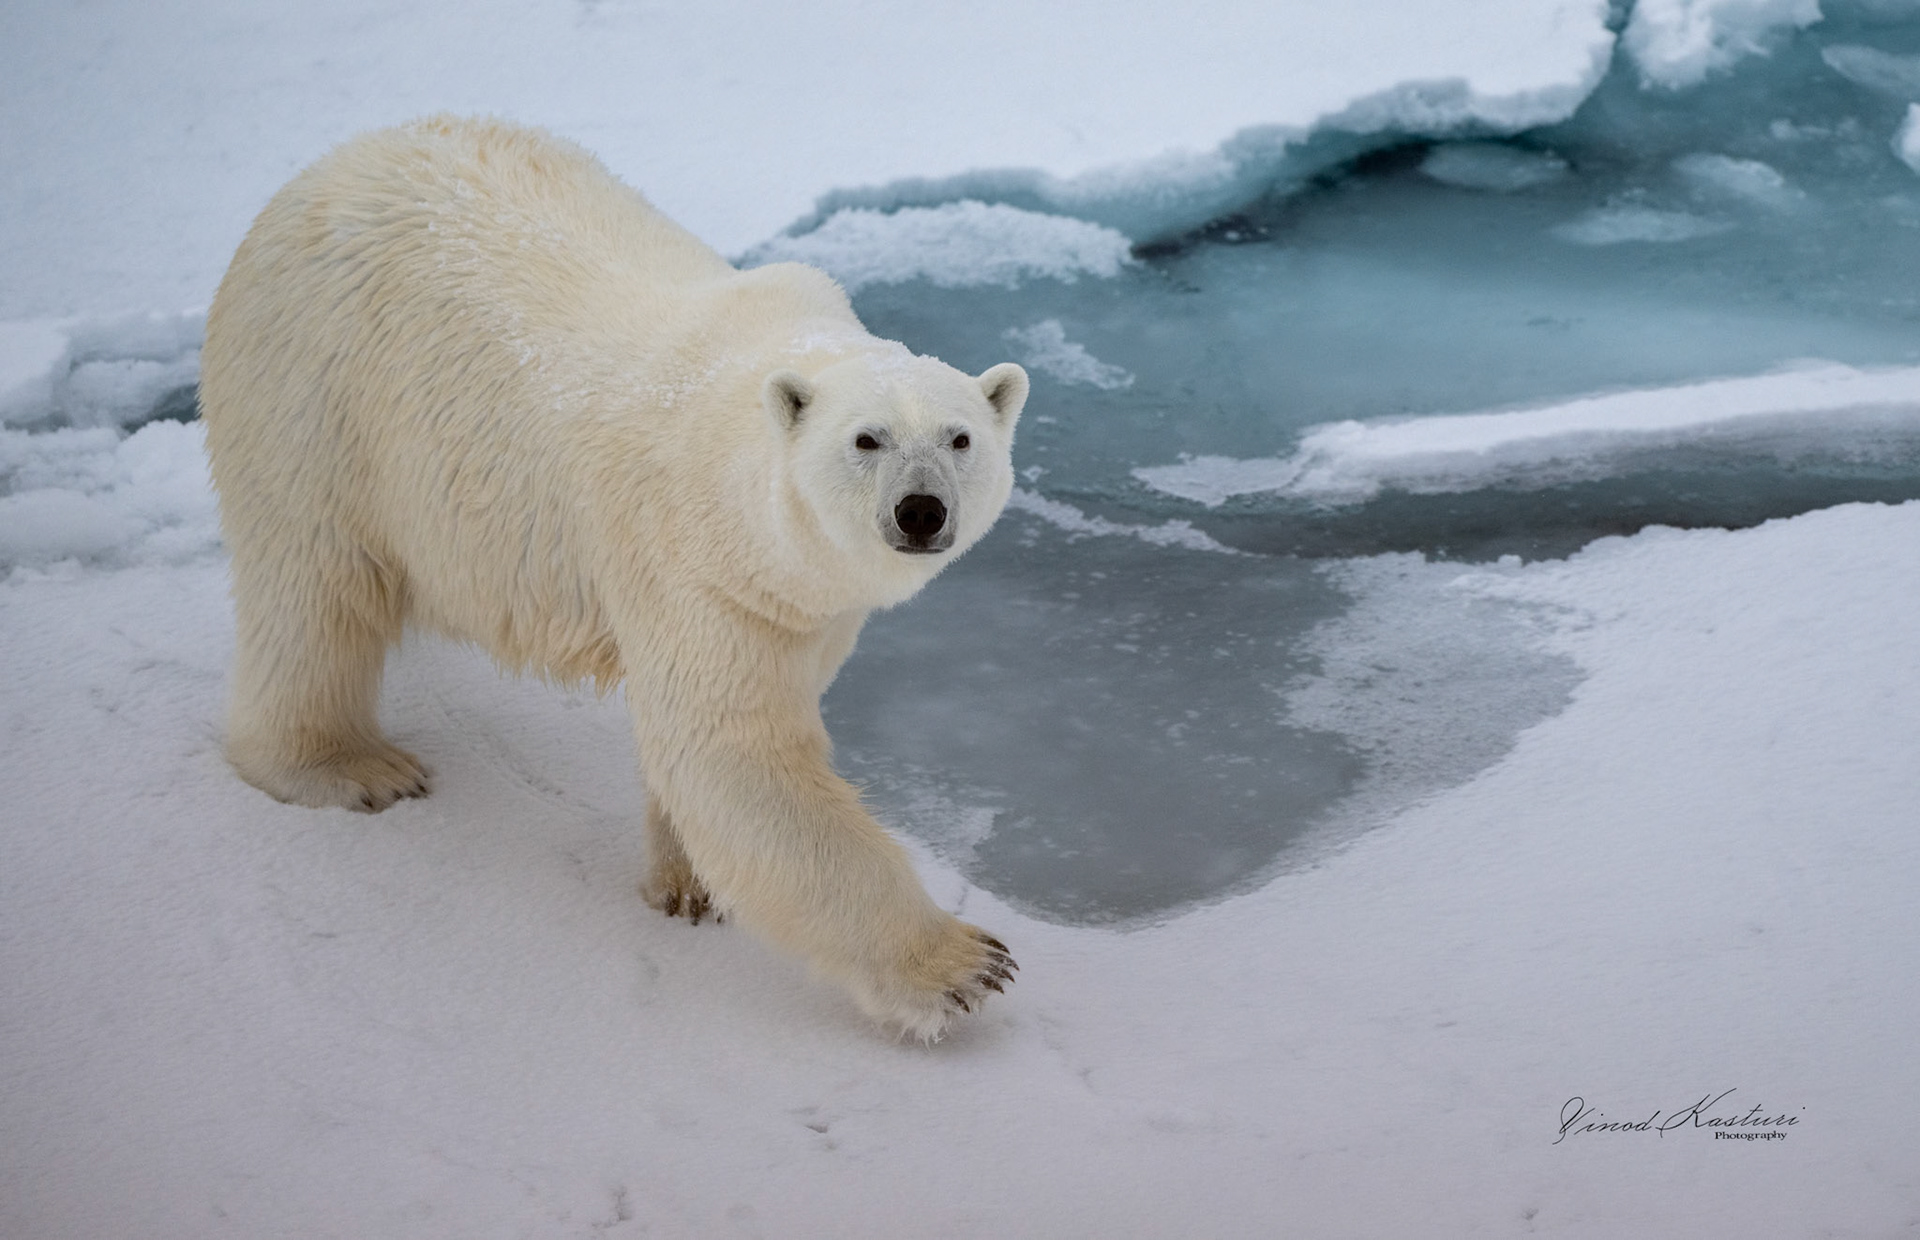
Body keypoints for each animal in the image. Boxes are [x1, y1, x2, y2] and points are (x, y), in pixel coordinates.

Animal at [198, 116, 1025, 1039]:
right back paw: (351, 767)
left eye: (959, 438)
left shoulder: (796, 603)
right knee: (315, 586)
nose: (920, 511)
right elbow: (734, 750)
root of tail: (321, 173)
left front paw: (689, 882)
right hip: (317, 397)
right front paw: (962, 966)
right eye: (867, 439)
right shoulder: (694, 562)